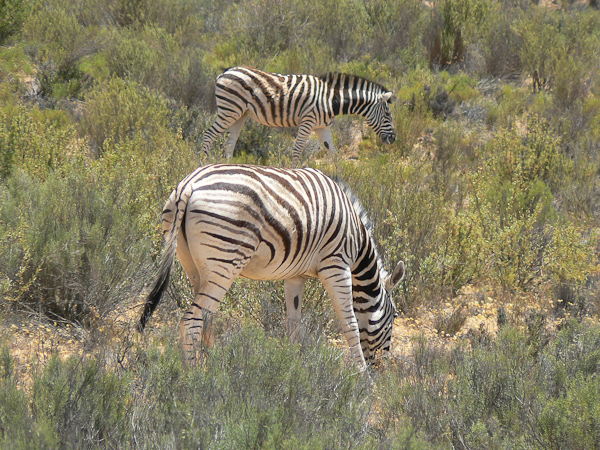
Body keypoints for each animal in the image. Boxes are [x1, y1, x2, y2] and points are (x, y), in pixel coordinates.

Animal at [138, 164, 406, 370]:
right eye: (394, 317)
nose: (381, 369)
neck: (357, 241)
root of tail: (188, 185)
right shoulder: (336, 265)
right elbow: (350, 323)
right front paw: (362, 377)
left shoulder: (296, 276)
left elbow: (294, 323)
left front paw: (294, 366)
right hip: (224, 263)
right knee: (192, 320)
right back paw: (193, 376)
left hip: (193, 265)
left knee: (205, 315)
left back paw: (211, 364)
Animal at [202, 67, 398, 165]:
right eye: (387, 114)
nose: (394, 139)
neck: (331, 101)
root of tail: (224, 73)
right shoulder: (307, 122)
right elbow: (297, 150)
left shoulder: (323, 127)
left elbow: (334, 154)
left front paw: (342, 183)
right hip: (229, 110)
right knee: (208, 135)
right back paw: (202, 164)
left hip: (240, 114)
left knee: (229, 144)